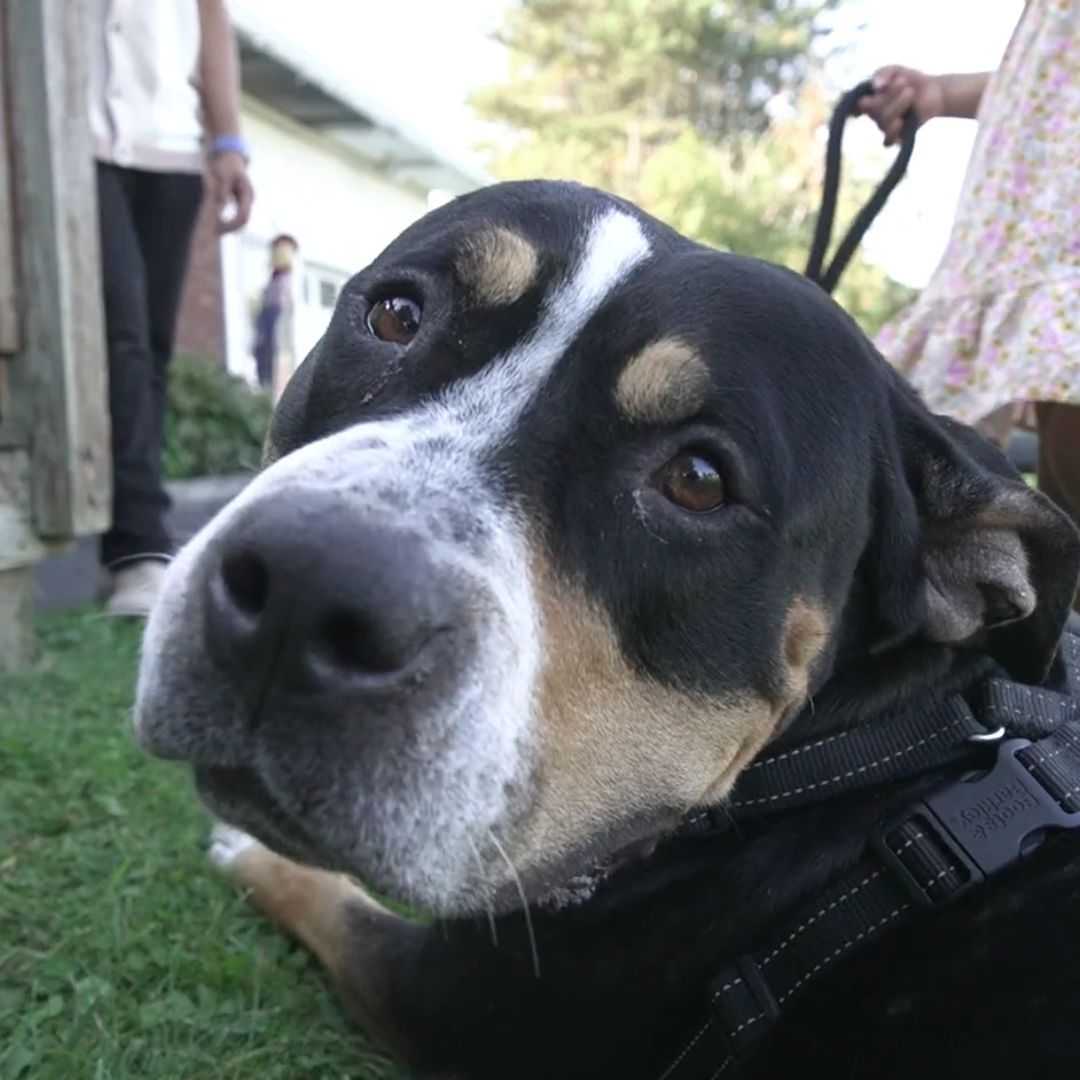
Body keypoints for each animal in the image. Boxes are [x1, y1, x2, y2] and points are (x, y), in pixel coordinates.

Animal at [132, 181, 1080, 1075]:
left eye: (699, 479)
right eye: (395, 315)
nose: (307, 586)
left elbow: (325, 898)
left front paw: (245, 855)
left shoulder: (442, 996)